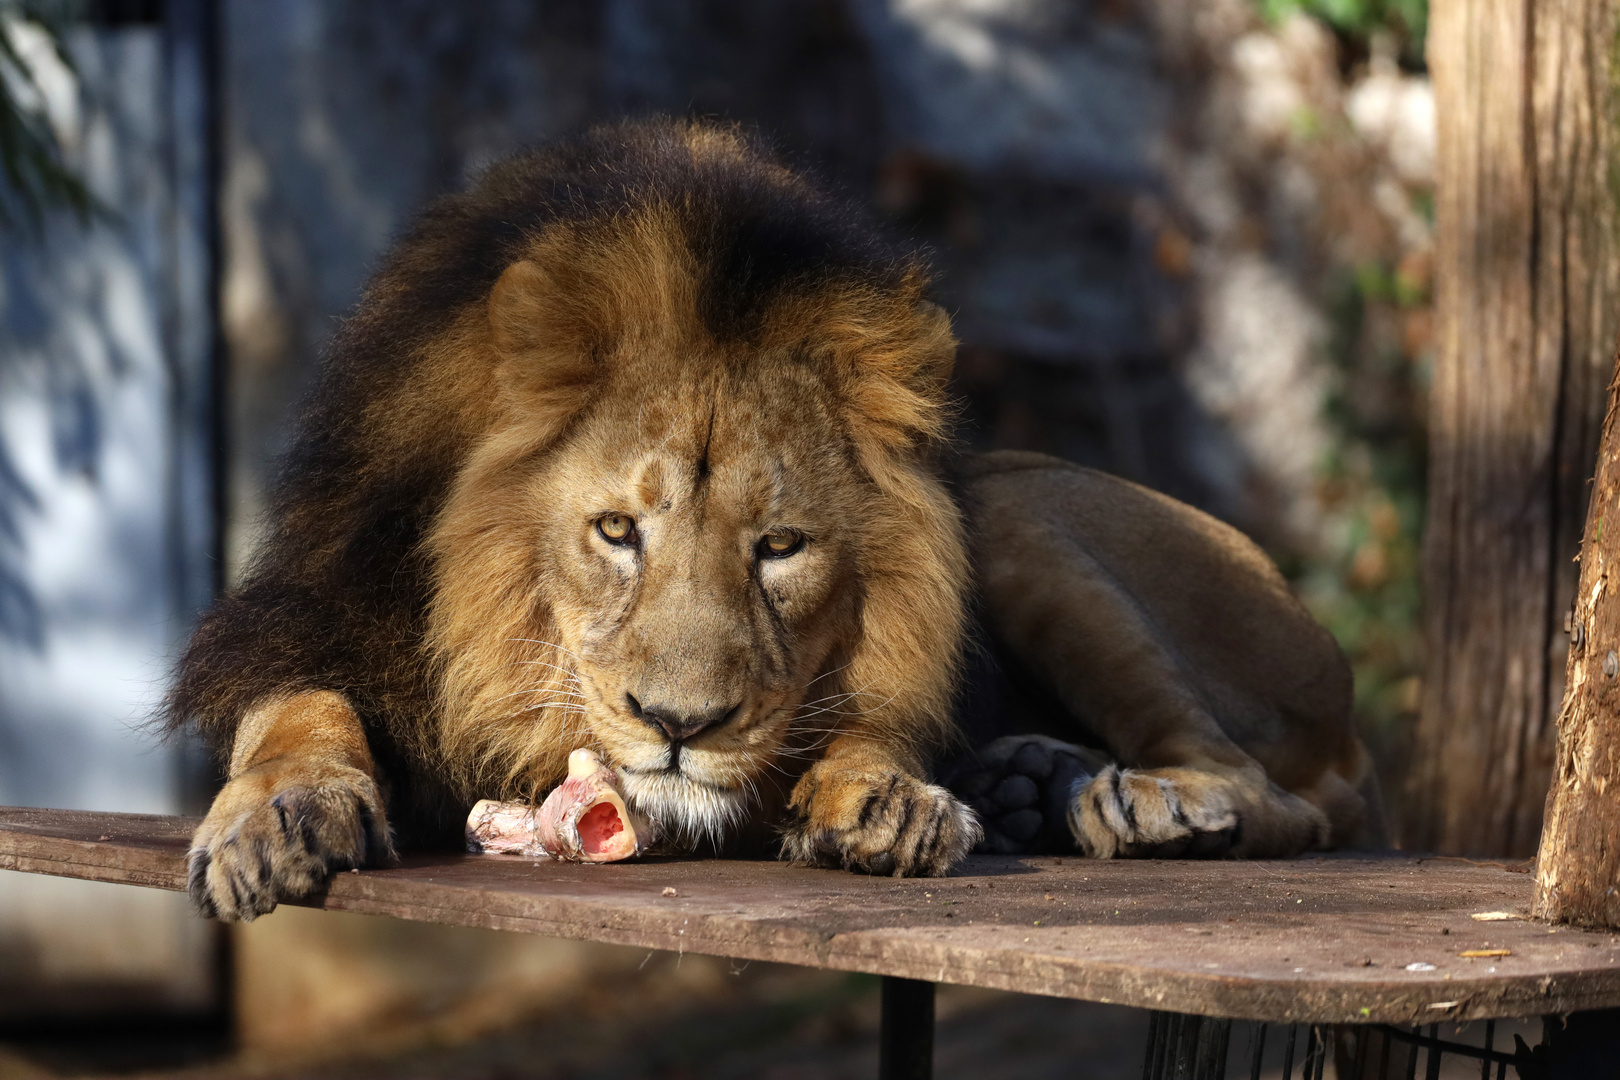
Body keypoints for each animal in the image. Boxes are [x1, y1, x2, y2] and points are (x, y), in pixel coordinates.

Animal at [167, 120, 1380, 919]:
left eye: (781, 547)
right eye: (618, 532)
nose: (679, 725)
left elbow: (877, 717)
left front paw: (885, 796)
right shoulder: (317, 608)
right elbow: (297, 709)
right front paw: (278, 816)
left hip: (1012, 508)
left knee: (1286, 796)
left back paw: (1147, 806)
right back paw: (1035, 782)